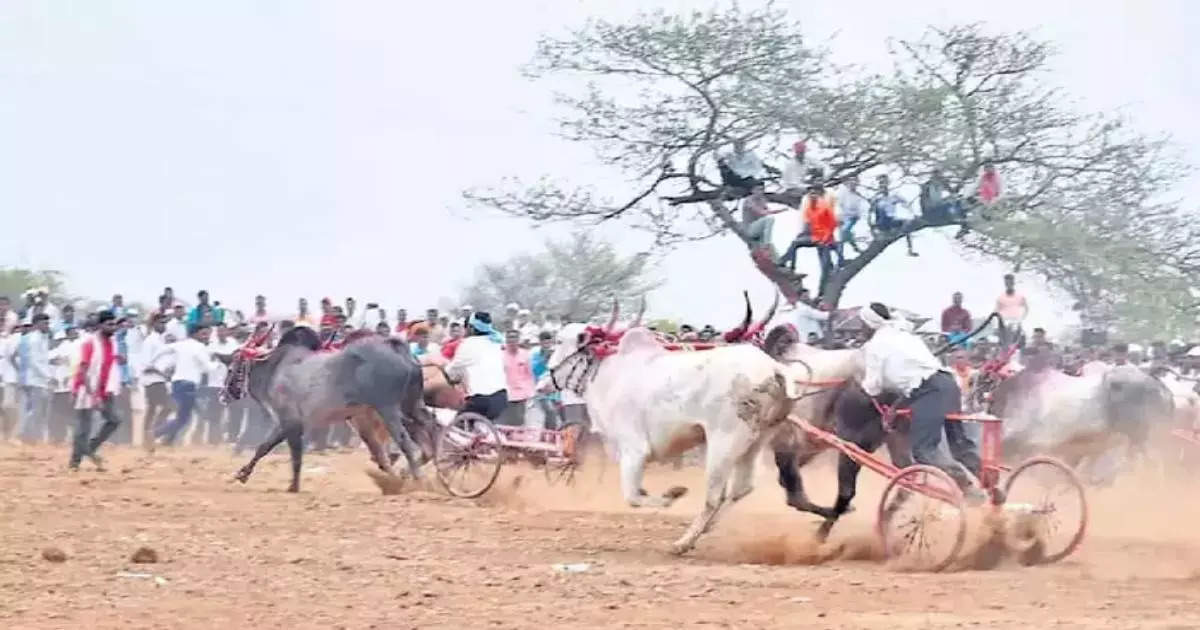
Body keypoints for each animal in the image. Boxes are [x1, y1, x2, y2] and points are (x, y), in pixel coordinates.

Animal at [549, 319, 801, 549]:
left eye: (560, 341)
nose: (549, 372)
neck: (609, 375)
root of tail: (774, 368)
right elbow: (637, 492)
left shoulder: (634, 450)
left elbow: (633, 497)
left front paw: (673, 494)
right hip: (756, 441)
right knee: (741, 489)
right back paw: (706, 528)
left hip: (724, 442)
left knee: (714, 497)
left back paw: (683, 543)